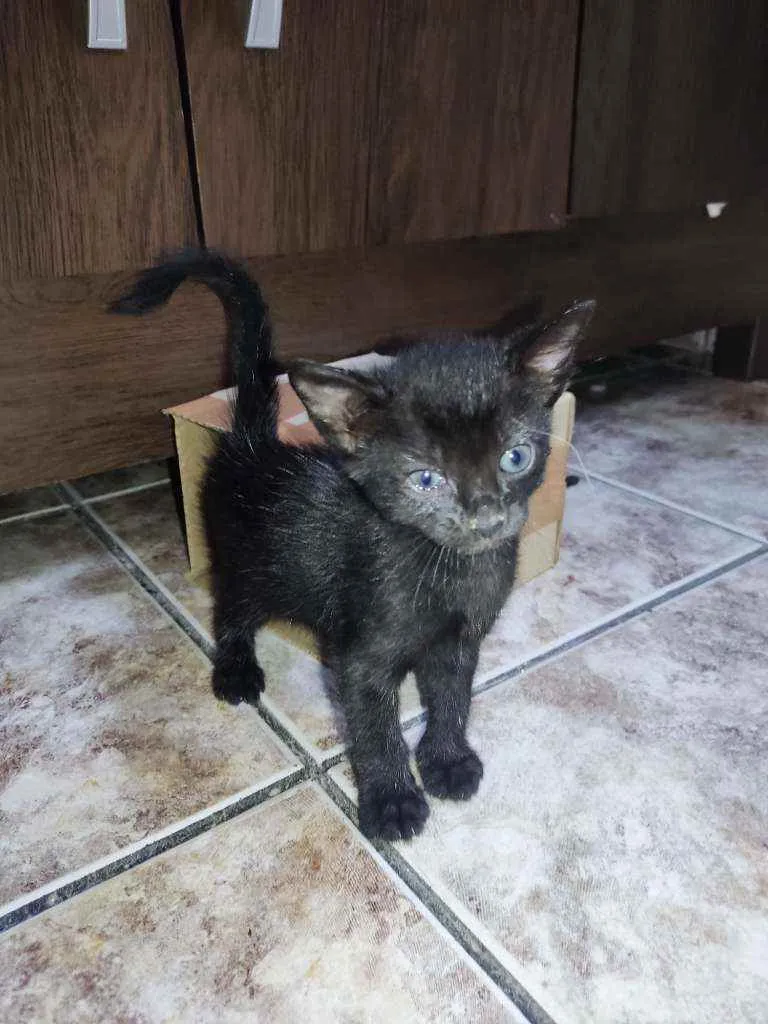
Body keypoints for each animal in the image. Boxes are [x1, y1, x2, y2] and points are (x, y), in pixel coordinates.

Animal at [112, 251, 595, 841]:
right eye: (425, 479)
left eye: (515, 457)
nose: (487, 516)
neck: (446, 567)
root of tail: (254, 443)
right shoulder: (360, 656)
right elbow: (372, 728)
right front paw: (392, 801)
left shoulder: (460, 641)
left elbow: (453, 697)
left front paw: (447, 760)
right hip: (251, 563)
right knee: (231, 607)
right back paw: (235, 669)